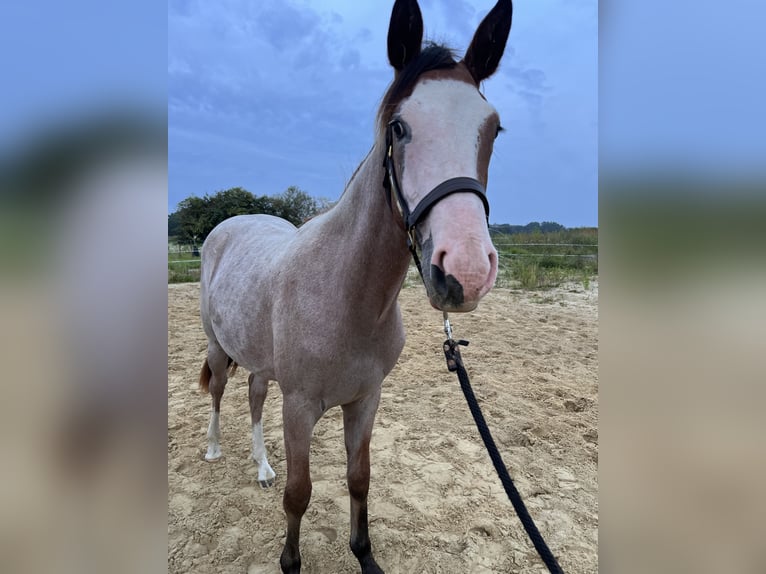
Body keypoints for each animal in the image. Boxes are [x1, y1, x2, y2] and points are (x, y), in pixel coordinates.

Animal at [197, 1, 513, 572]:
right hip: (217, 344)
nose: (466, 271)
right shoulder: (299, 406)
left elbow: (359, 479)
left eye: (494, 129)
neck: (347, 296)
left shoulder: (366, 400)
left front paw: (364, 555)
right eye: (398, 126)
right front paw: (290, 562)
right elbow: (299, 494)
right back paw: (214, 449)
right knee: (218, 392)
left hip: (261, 362)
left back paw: (261, 466)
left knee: (253, 396)